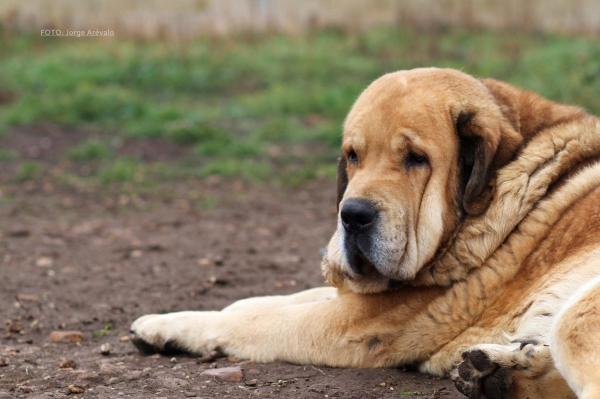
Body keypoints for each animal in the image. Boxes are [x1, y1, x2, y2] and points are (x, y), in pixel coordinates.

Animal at [131, 69, 600, 399]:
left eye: (415, 159)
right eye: (353, 156)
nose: (352, 215)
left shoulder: (355, 324)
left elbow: (251, 319)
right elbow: (267, 300)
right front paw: (167, 322)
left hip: (576, 317)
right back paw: (502, 375)